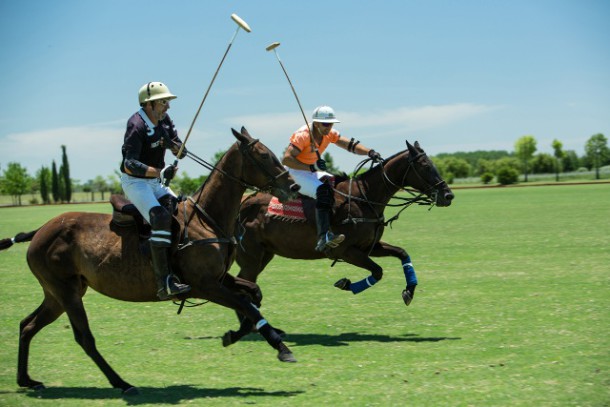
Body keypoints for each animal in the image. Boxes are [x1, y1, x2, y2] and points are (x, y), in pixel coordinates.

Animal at [1, 127, 300, 396]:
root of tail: (39, 231)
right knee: (84, 338)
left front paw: (232, 335)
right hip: (67, 291)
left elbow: (253, 296)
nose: (294, 186)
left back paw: (26, 380)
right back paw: (122, 383)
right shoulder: (205, 286)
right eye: (263, 155)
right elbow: (248, 306)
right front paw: (282, 349)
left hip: (59, 293)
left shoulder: (220, 278)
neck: (206, 218)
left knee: (27, 325)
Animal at [235, 140, 454, 312]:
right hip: (251, 257)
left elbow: (402, 253)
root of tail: (243, 204)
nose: (448, 195)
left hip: (264, 255)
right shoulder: (345, 250)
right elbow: (377, 271)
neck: (364, 198)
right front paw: (346, 284)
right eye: (425, 165)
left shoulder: (370, 246)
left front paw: (409, 290)